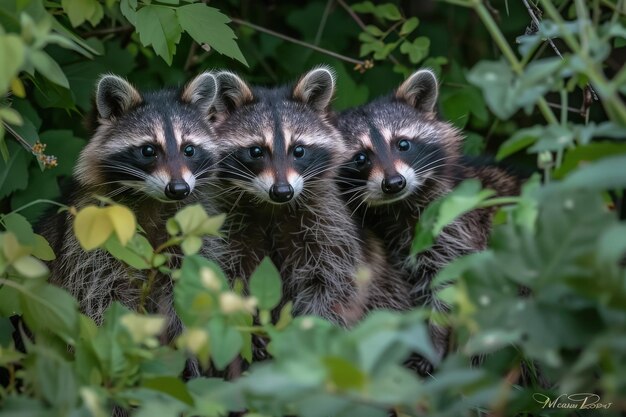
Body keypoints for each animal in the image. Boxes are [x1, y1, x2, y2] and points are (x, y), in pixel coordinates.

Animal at [37, 74, 223, 342]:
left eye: (189, 149)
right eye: (148, 150)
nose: (178, 189)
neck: (154, 201)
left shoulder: (192, 234)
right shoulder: (91, 237)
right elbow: (100, 301)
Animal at [205, 67, 410, 324]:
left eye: (299, 150)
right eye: (256, 151)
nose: (282, 191)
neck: (272, 207)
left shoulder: (328, 225)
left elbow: (331, 284)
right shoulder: (230, 226)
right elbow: (230, 276)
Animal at [334, 68, 520, 374]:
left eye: (403, 144)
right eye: (360, 158)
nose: (394, 183)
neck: (398, 206)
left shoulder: (454, 225)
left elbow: (447, 285)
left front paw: (434, 343)